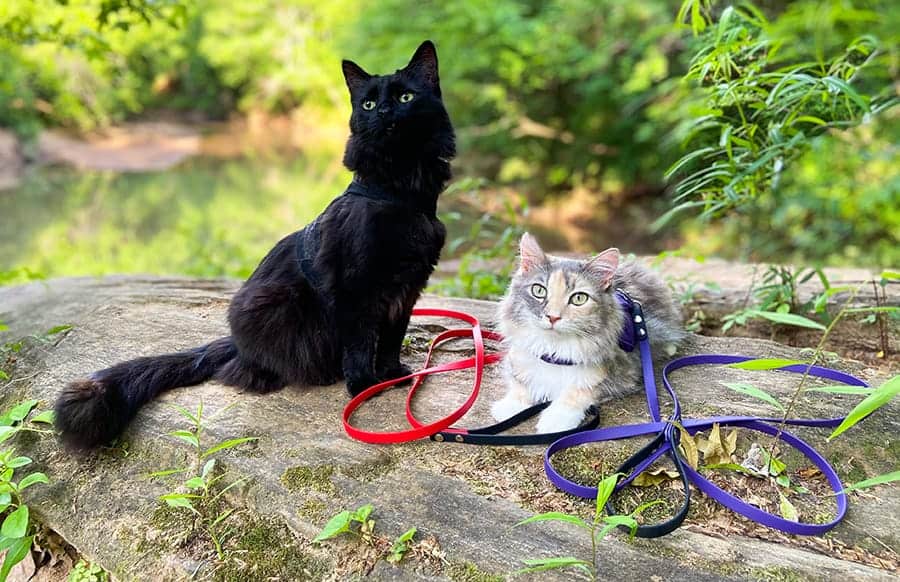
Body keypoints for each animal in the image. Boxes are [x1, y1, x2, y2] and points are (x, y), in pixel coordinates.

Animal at [52, 42, 454, 452]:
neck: (399, 191)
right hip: (271, 305)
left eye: (405, 97)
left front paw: (393, 375)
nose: (386, 112)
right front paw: (364, 387)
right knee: (240, 369)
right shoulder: (357, 288)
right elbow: (360, 343)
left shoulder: (406, 289)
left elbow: (391, 338)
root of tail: (235, 342)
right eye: (369, 104)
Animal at [492, 236, 684, 434]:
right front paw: (509, 406)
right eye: (539, 291)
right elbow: (520, 384)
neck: (555, 351)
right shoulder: (517, 359)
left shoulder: (617, 375)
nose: (553, 317)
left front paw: (555, 420)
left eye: (579, 298)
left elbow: (577, 392)